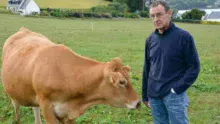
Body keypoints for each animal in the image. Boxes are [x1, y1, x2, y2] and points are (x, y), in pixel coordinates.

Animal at [1, 27, 140, 124]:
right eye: (122, 82)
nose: (138, 103)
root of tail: (24, 30)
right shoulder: (47, 107)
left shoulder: (68, 114)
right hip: (14, 95)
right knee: (17, 111)